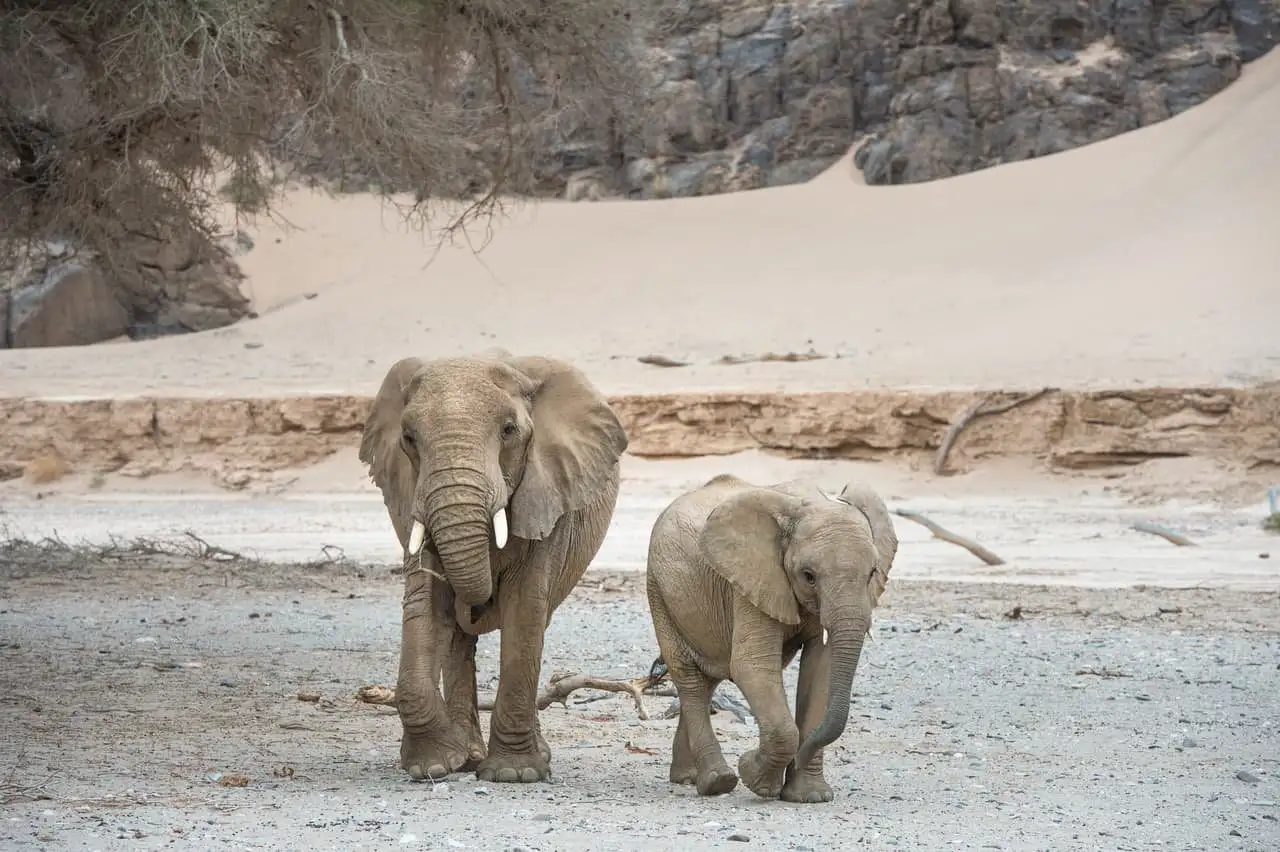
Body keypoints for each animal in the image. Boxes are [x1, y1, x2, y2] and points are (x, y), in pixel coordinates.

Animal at [358, 347, 627, 777]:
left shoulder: (546, 493)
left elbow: (525, 610)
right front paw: (431, 767)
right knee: (457, 640)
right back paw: (466, 758)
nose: (477, 606)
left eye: (508, 431)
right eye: (408, 438)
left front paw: (515, 774)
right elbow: (425, 605)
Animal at [645, 473, 896, 798]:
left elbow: (822, 669)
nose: (799, 759)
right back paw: (717, 782)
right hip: (659, 589)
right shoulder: (749, 582)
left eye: (872, 573)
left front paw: (809, 797)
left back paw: (687, 778)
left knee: (708, 680)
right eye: (808, 576)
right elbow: (752, 665)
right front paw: (755, 778)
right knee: (689, 677)